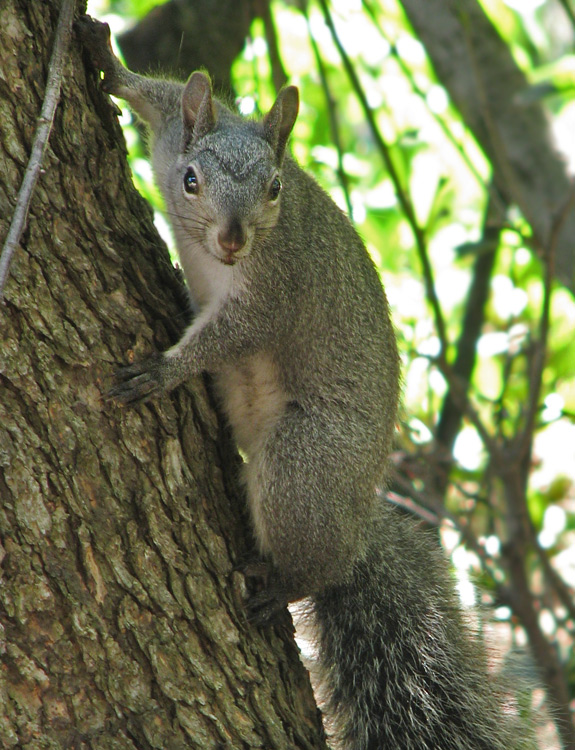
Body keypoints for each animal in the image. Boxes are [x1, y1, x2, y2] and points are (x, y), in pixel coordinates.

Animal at [79, 17, 532, 750]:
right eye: (190, 179)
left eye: (274, 189)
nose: (233, 241)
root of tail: (355, 522)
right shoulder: (175, 131)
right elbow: (158, 93)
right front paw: (102, 54)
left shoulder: (273, 291)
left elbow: (229, 337)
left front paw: (164, 369)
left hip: (302, 463)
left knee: (316, 560)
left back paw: (281, 585)